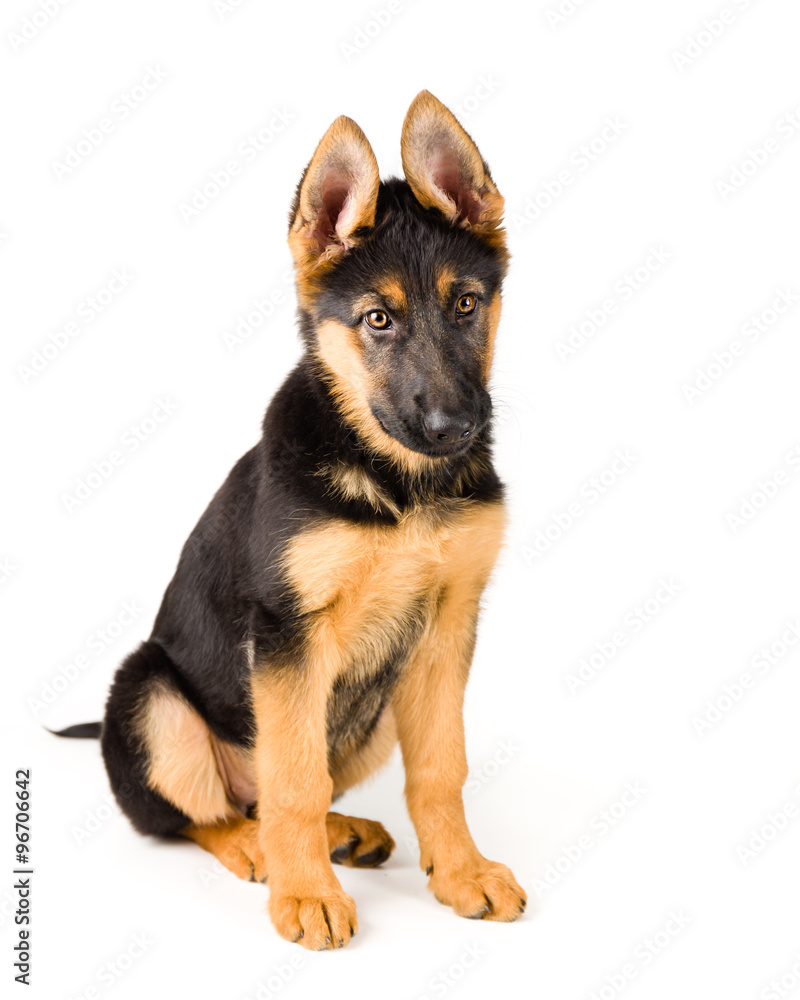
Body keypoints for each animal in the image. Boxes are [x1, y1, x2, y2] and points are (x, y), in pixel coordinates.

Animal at [57, 90, 532, 948]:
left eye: (467, 305)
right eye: (378, 320)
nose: (452, 429)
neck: (399, 485)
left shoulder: (448, 624)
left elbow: (440, 769)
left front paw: (461, 872)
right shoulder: (288, 633)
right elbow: (295, 781)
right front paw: (305, 893)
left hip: (375, 710)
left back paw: (342, 833)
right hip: (149, 694)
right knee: (202, 811)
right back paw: (260, 849)